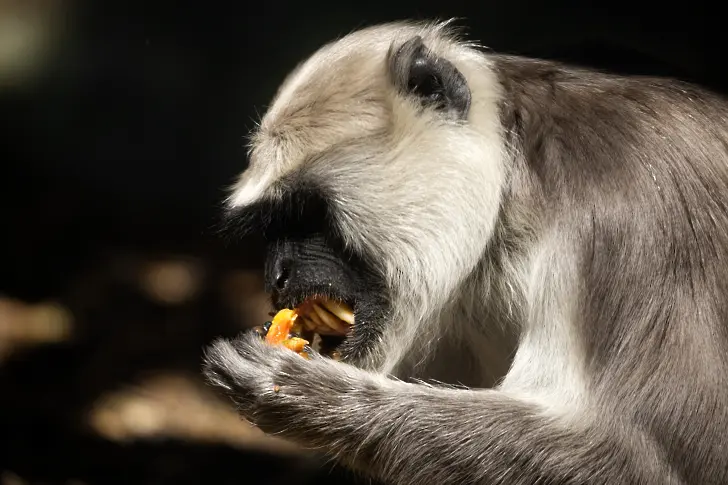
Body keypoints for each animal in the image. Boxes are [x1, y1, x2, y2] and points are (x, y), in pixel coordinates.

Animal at [202, 19, 728, 484]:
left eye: (306, 215)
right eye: (273, 229)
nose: (278, 276)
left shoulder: (629, 216)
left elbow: (635, 462)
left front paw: (300, 395)